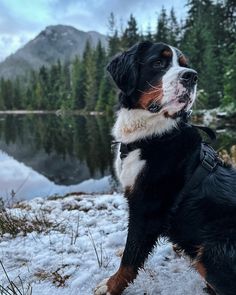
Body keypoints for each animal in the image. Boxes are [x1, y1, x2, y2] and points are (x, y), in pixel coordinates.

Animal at [94, 41, 236, 295]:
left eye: (185, 65)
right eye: (158, 62)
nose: (191, 76)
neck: (152, 135)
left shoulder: (146, 206)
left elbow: (131, 256)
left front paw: (110, 286)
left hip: (213, 250)